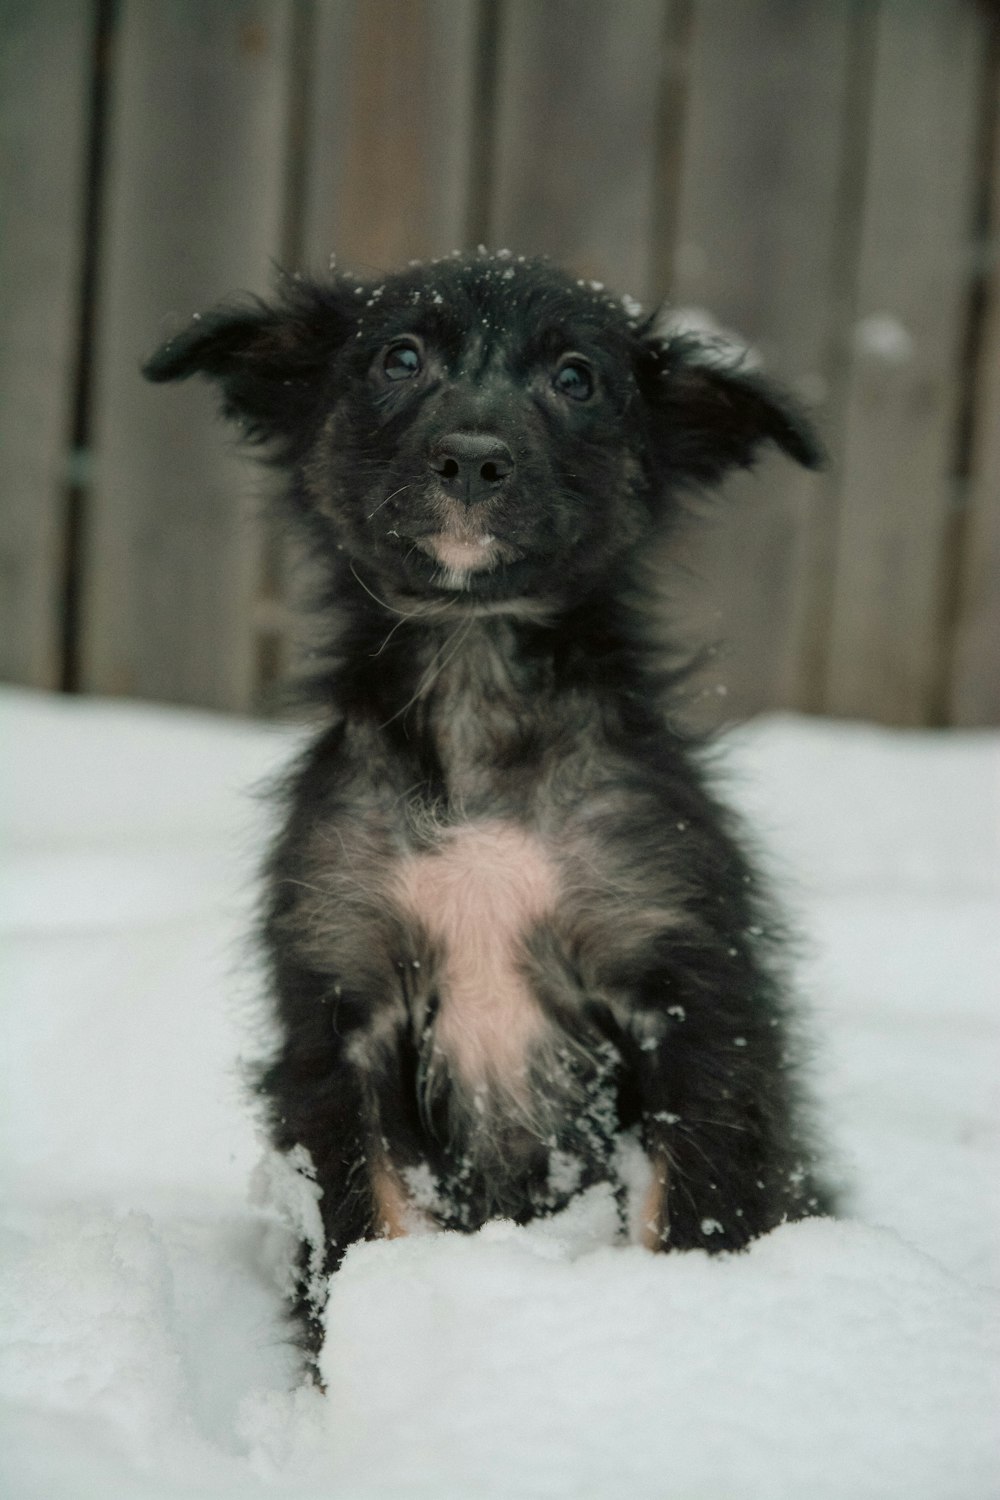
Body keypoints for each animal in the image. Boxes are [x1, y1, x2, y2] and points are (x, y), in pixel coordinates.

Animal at [146, 255, 839, 1362]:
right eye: (398, 357)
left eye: (576, 378)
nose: (472, 460)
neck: (476, 690)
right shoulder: (338, 1012)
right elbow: (362, 1229)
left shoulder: (691, 996)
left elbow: (691, 1210)